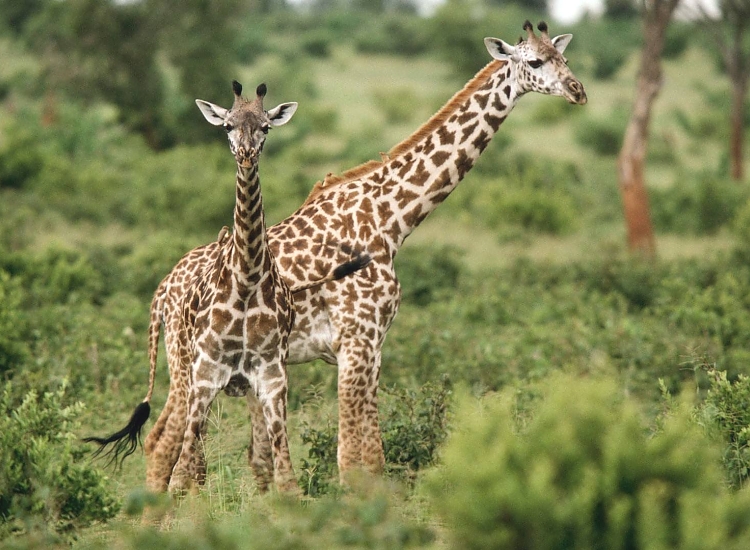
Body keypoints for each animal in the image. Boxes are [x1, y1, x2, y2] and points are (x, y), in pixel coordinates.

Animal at [84, 81, 369, 494]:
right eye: (227, 126)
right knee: (180, 458)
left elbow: (286, 476)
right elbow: (181, 475)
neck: (247, 278)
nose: (247, 156)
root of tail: (163, 288)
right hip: (186, 376)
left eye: (265, 127)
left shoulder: (272, 378)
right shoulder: (206, 376)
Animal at [139, 21, 587, 489]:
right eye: (534, 61)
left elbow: (369, 455)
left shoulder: (373, 344)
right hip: (189, 362)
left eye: (564, 58)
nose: (577, 90)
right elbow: (355, 459)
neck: (391, 220)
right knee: (162, 442)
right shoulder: (357, 338)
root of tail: (163, 290)